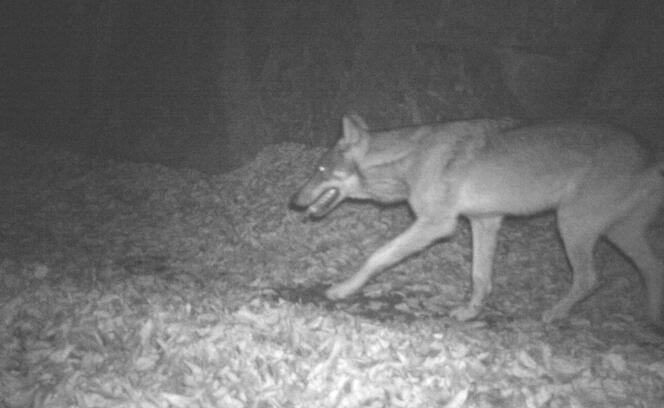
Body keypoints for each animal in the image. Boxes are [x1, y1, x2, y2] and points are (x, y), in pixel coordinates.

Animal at [291, 114, 664, 325]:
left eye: (319, 170)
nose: (293, 201)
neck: (412, 158)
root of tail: (651, 156)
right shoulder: (485, 221)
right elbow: (480, 277)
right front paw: (470, 313)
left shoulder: (437, 224)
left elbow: (377, 256)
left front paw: (343, 289)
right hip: (618, 234)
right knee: (652, 268)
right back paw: (653, 320)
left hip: (572, 225)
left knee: (590, 279)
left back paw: (555, 315)